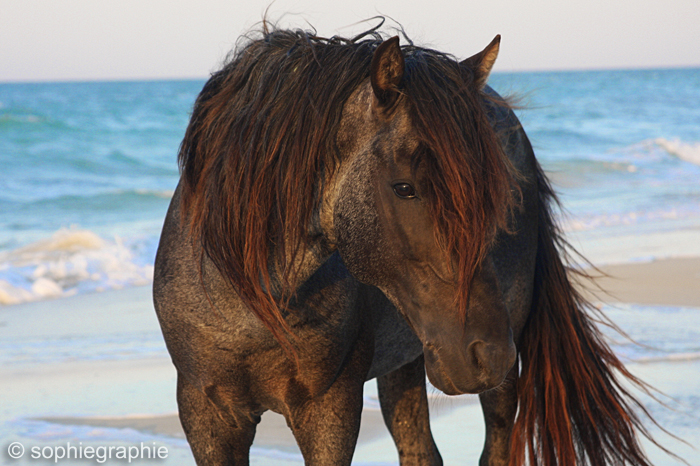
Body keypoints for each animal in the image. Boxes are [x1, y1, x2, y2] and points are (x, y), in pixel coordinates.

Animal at [153, 26, 660, 466]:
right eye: (404, 188)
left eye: (493, 195)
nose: (489, 355)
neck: (254, 296)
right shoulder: (206, 414)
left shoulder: (330, 409)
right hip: (410, 363)